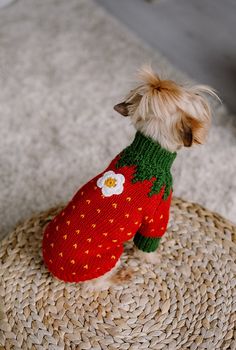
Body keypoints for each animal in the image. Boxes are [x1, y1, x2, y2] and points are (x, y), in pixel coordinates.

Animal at [42, 65, 216, 290]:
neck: (148, 153)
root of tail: (52, 269)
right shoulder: (158, 213)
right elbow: (148, 242)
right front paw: (153, 258)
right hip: (106, 259)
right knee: (96, 284)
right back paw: (120, 276)